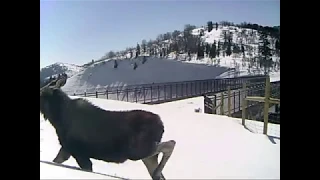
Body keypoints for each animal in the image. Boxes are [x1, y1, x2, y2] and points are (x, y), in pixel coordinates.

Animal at [39, 79, 178, 180]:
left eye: (41, 93)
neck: (56, 118)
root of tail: (161, 124)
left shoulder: (78, 151)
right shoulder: (67, 149)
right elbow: (56, 160)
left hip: (137, 150)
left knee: (171, 144)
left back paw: (157, 171)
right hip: (147, 156)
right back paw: (157, 173)